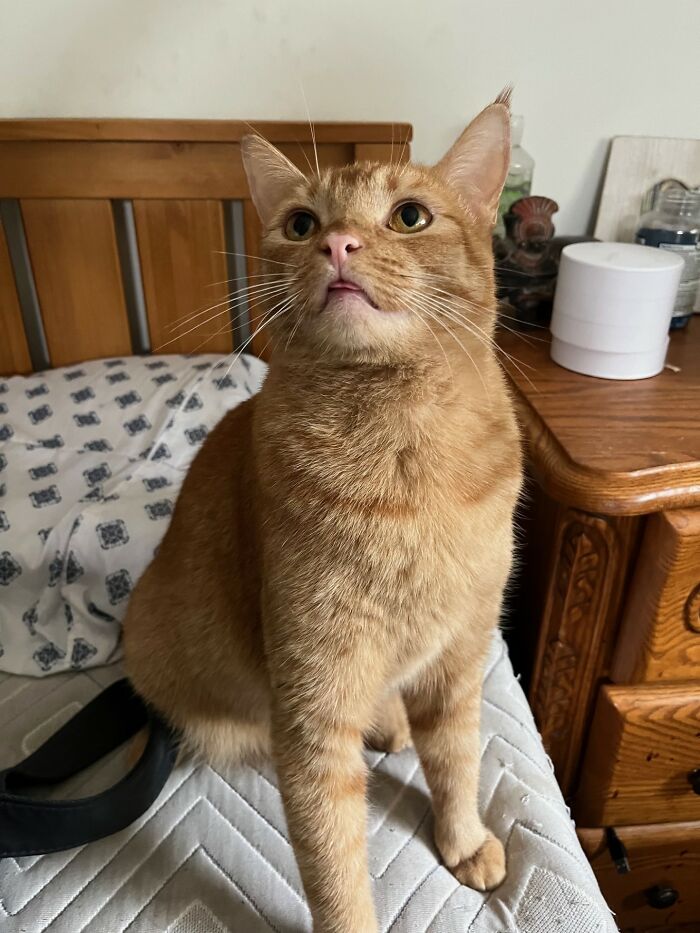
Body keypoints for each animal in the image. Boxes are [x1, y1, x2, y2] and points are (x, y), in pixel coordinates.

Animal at [123, 91, 522, 933]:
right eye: (302, 223)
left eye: (410, 216)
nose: (337, 243)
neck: (403, 464)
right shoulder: (312, 709)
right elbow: (332, 856)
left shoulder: (460, 656)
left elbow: (457, 759)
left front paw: (463, 837)